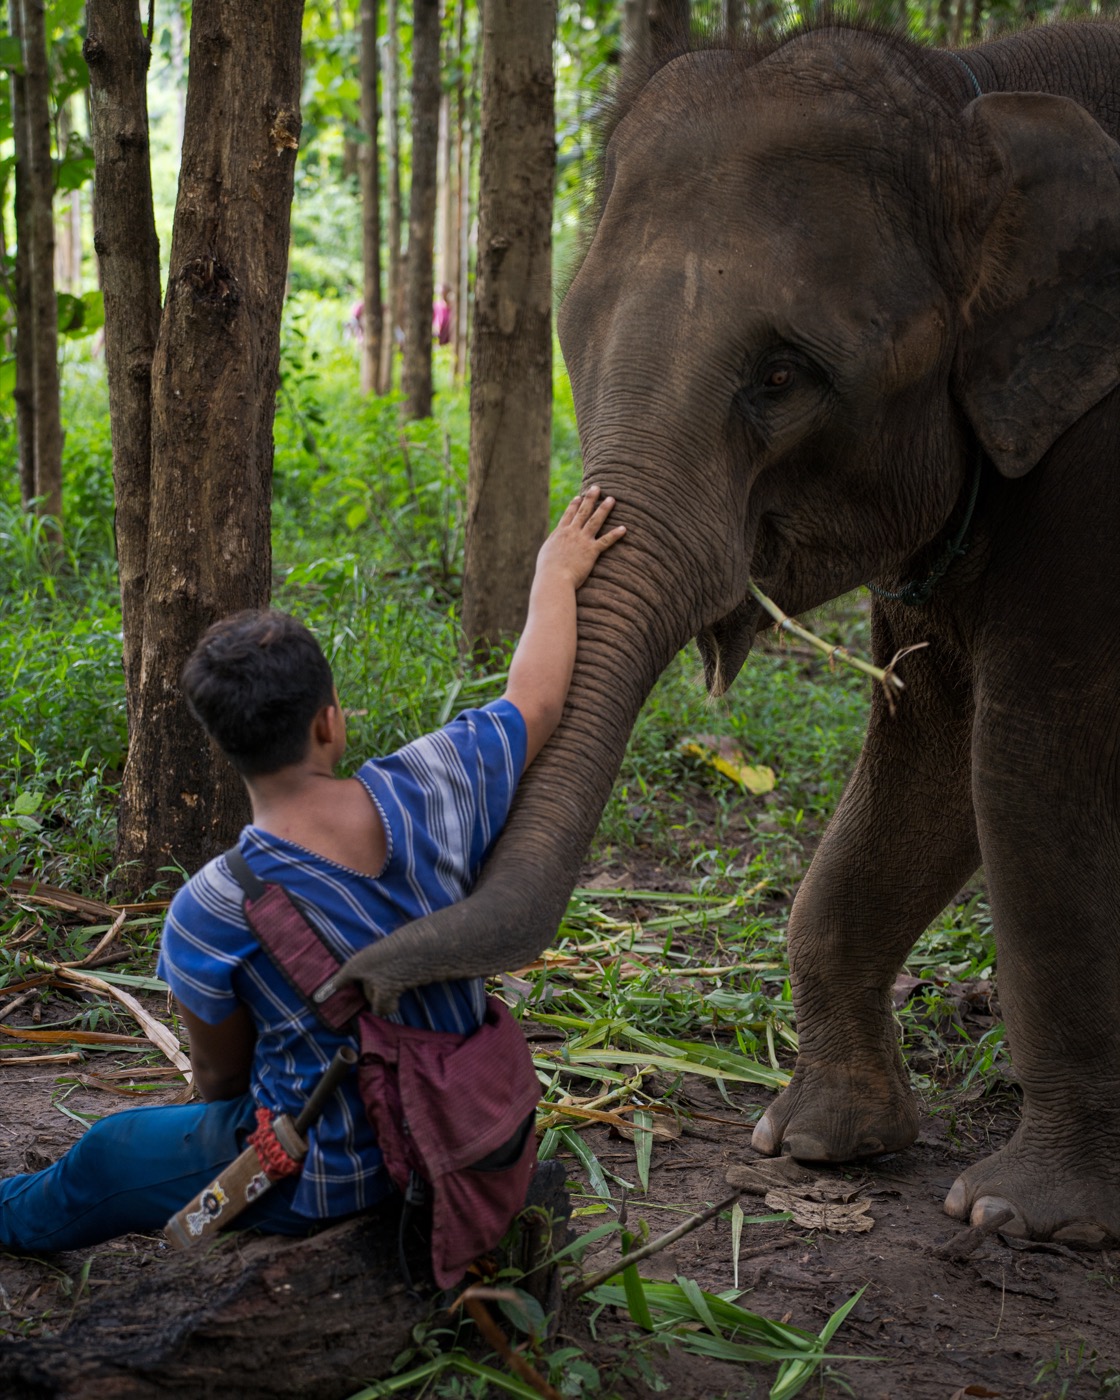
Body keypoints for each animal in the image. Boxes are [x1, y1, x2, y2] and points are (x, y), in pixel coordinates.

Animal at [336, 19, 1120, 1245]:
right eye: (574, 339)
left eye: (784, 373)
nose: (353, 990)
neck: (977, 91)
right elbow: (927, 751)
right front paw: (814, 1142)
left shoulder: (1093, 474)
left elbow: (1030, 770)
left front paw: (1023, 1214)